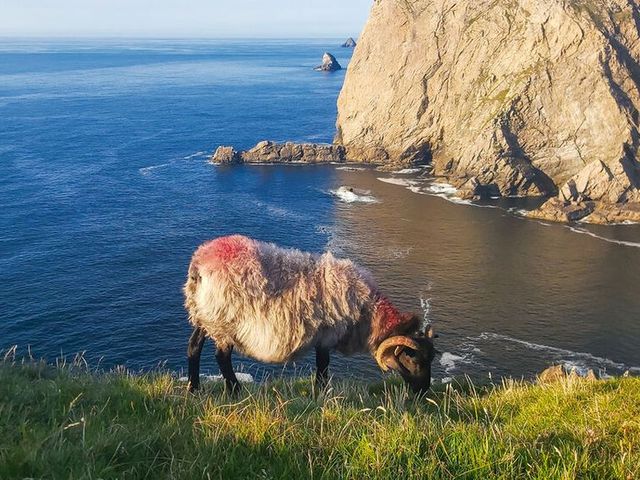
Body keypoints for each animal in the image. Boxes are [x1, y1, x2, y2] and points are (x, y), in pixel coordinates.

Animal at [182, 233, 438, 394]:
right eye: (412, 357)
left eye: (432, 357)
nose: (423, 391)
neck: (368, 312)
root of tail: (200, 264)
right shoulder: (326, 336)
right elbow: (323, 369)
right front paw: (321, 395)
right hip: (224, 320)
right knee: (222, 357)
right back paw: (235, 391)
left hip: (204, 315)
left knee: (194, 347)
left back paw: (194, 389)